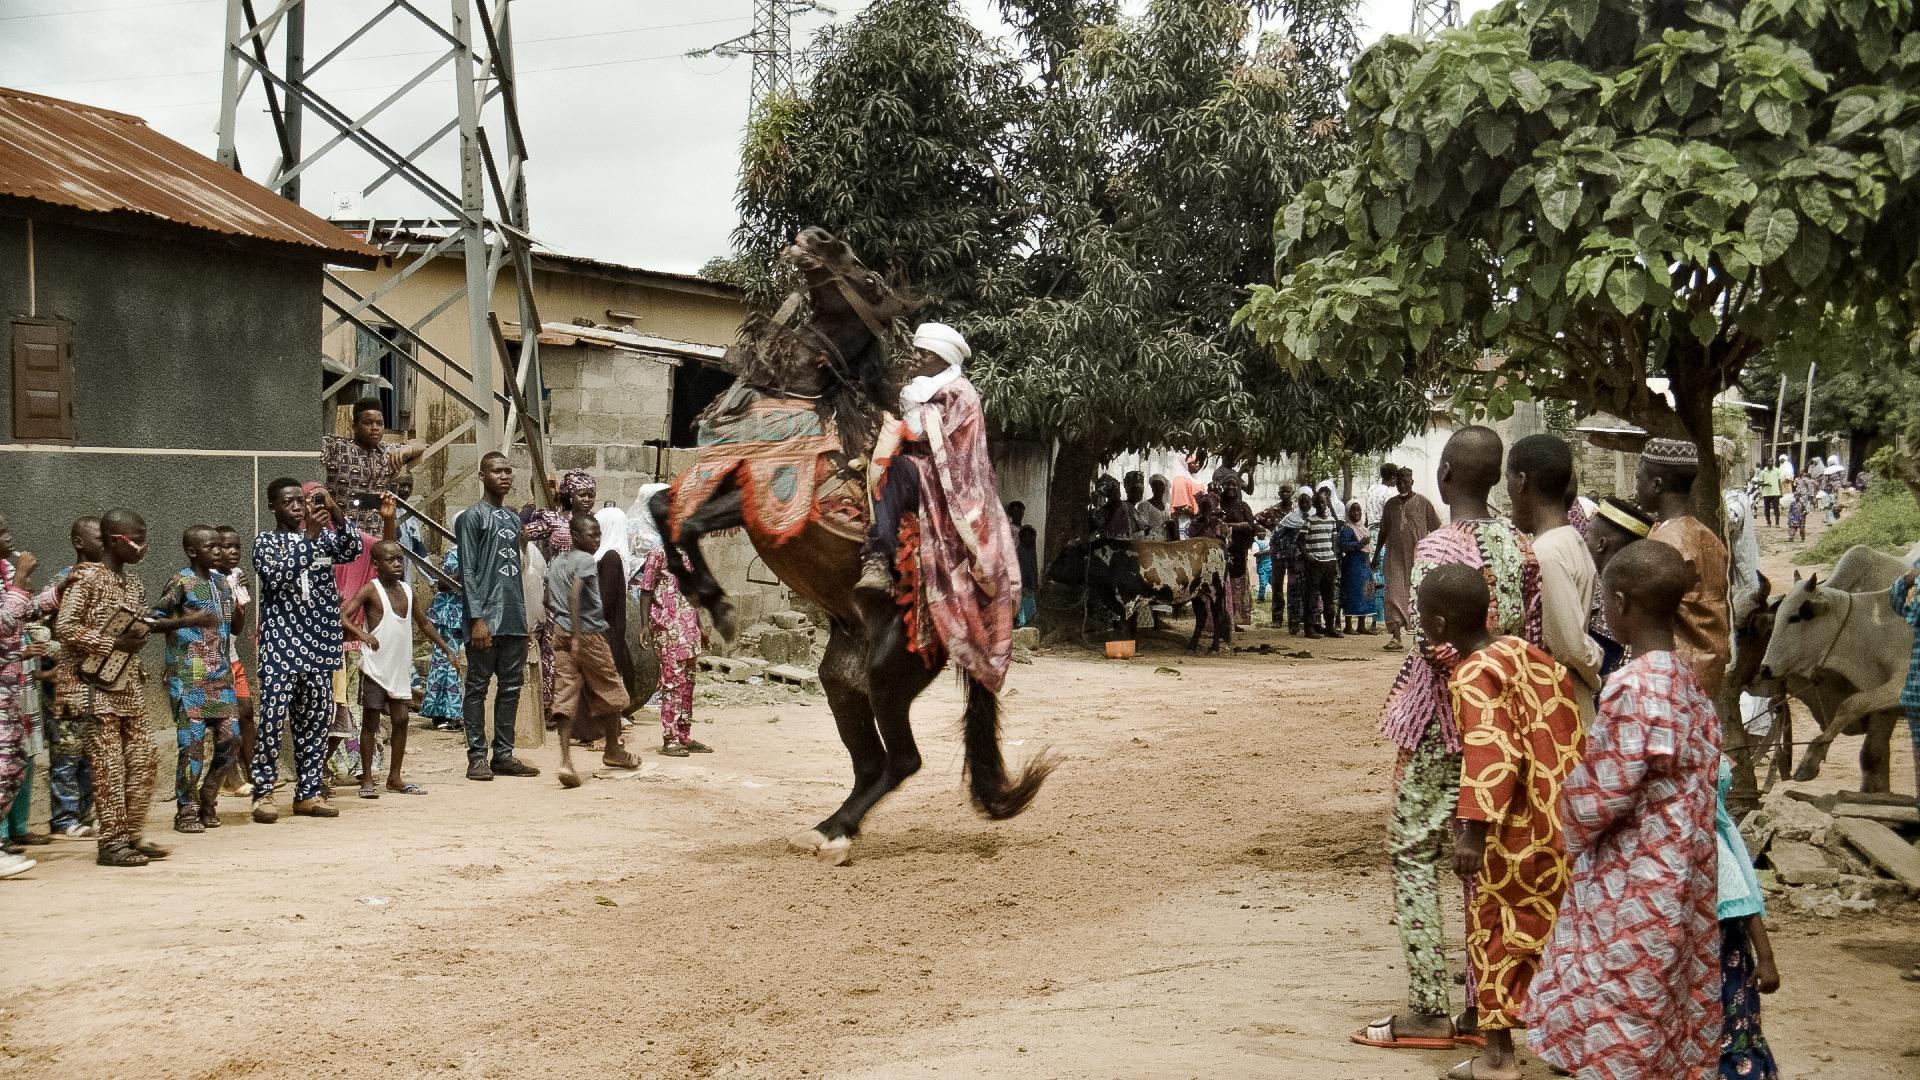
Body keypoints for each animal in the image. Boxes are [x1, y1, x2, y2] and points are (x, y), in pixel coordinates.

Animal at [652, 228, 1059, 864]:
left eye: (868, 279)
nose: (815, 237)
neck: (792, 407)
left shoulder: (772, 498)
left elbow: (687, 524)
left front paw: (716, 605)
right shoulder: (720, 477)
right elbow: (663, 512)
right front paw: (701, 593)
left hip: (891, 677)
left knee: (903, 761)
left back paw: (836, 833)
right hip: (844, 683)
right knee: (871, 763)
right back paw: (828, 828)